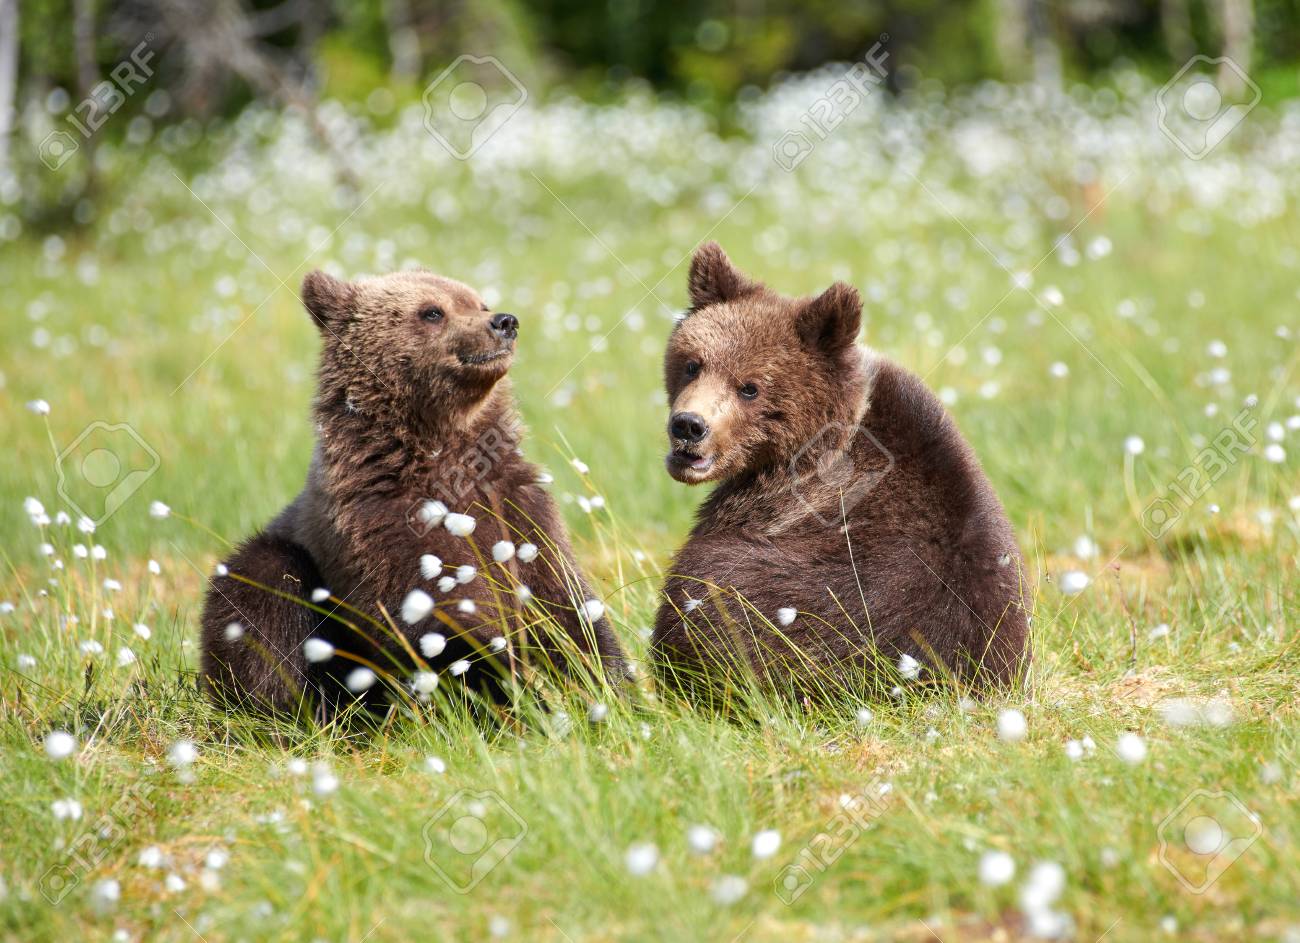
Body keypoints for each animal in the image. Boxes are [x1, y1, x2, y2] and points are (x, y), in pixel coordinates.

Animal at [200, 268, 626, 717]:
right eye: (432, 311)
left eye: (479, 302)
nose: (504, 322)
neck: (442, 451)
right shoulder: (382, 523)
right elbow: (434, 624)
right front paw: (505, 692)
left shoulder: (516, 506)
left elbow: (565, 602)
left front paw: (606, 686)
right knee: (265, 597)